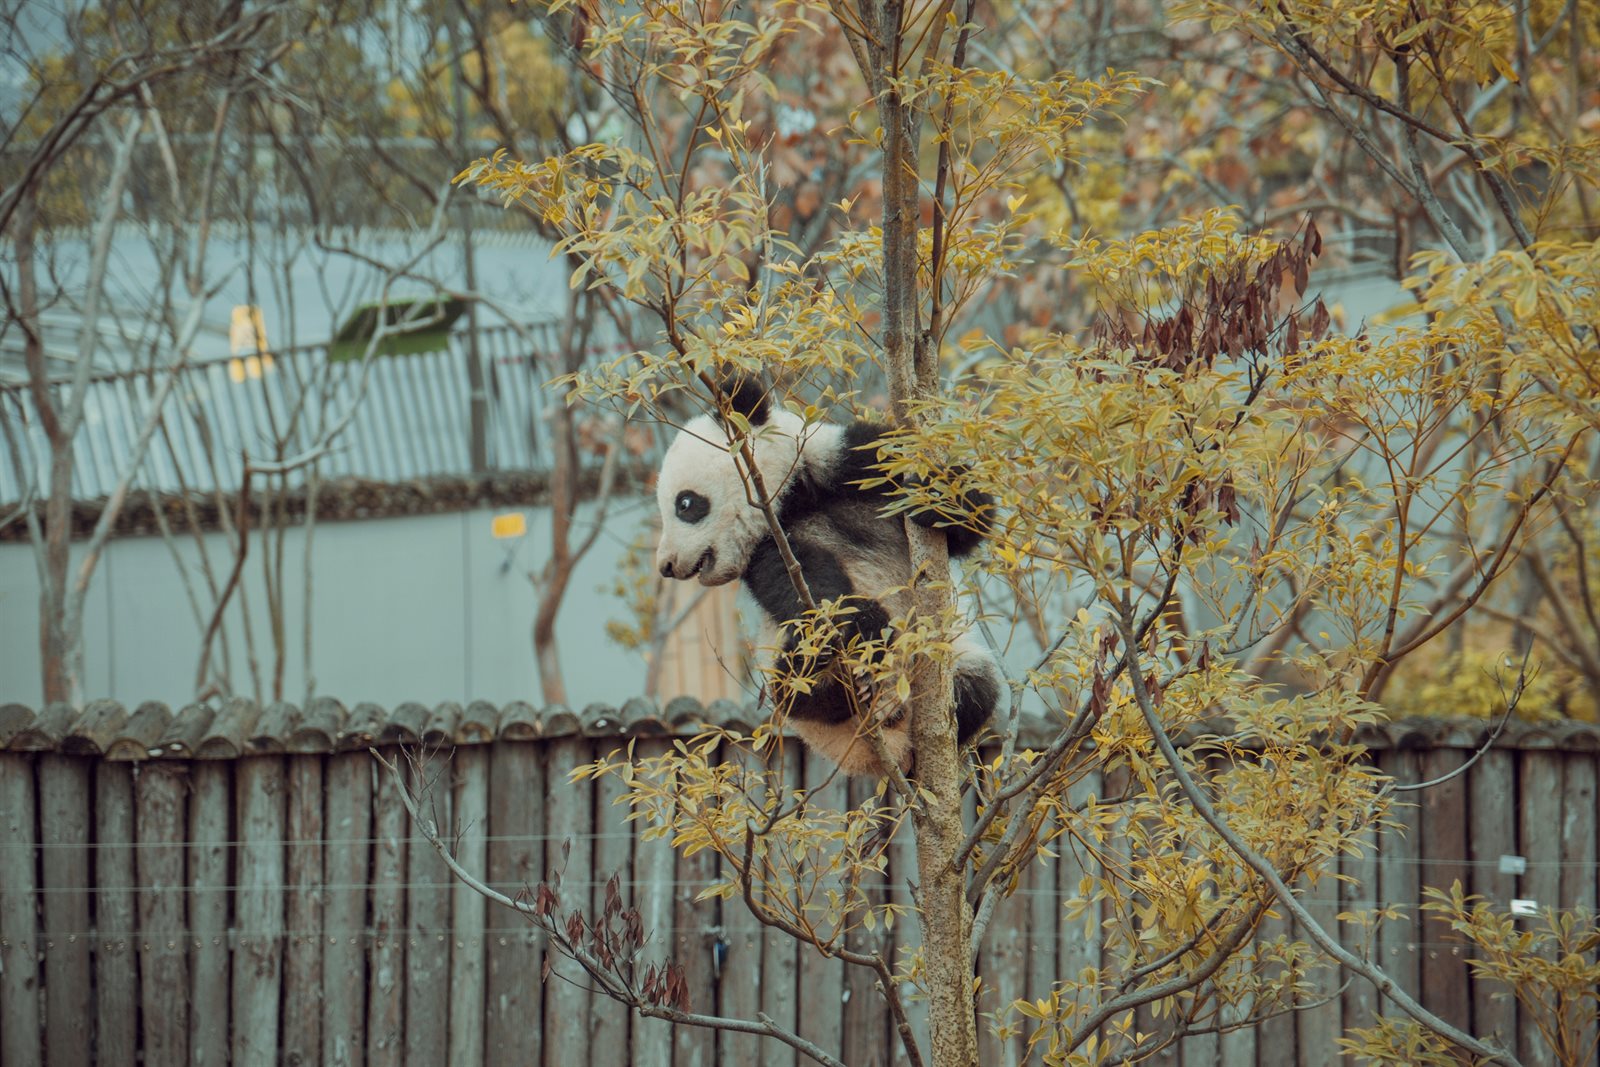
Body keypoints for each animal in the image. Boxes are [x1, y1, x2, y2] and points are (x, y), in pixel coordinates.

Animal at [653, 378, 1006, 777]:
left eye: (685, 504)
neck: (792, 501)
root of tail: (884, 750)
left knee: (978, 689)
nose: (666, 564)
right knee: (792, 683)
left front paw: (934, 495)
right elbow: (805, 586)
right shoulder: (768, 551)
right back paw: (832, 685)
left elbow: (968, 522)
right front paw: (869, 625)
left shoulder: (851, 463)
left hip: (954, 658)